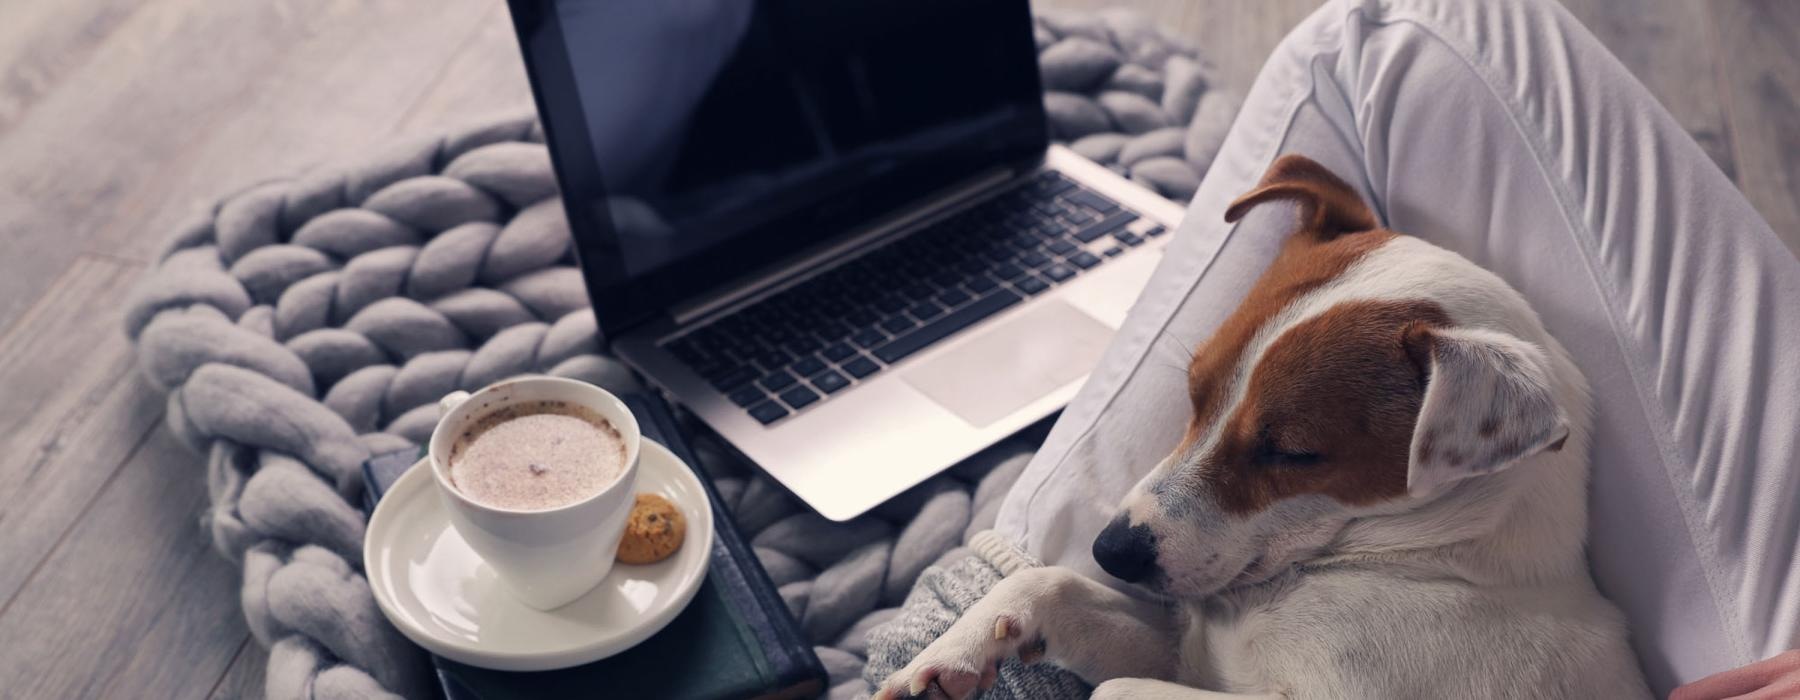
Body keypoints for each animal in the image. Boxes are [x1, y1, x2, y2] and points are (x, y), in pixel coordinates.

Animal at [878, 155, 1648, 694]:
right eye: (1193, 392)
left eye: (1293, 453)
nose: (1111, 549)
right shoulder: (1188, 655)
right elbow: (1050, 587)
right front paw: (957, 651)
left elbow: (1117, 689)